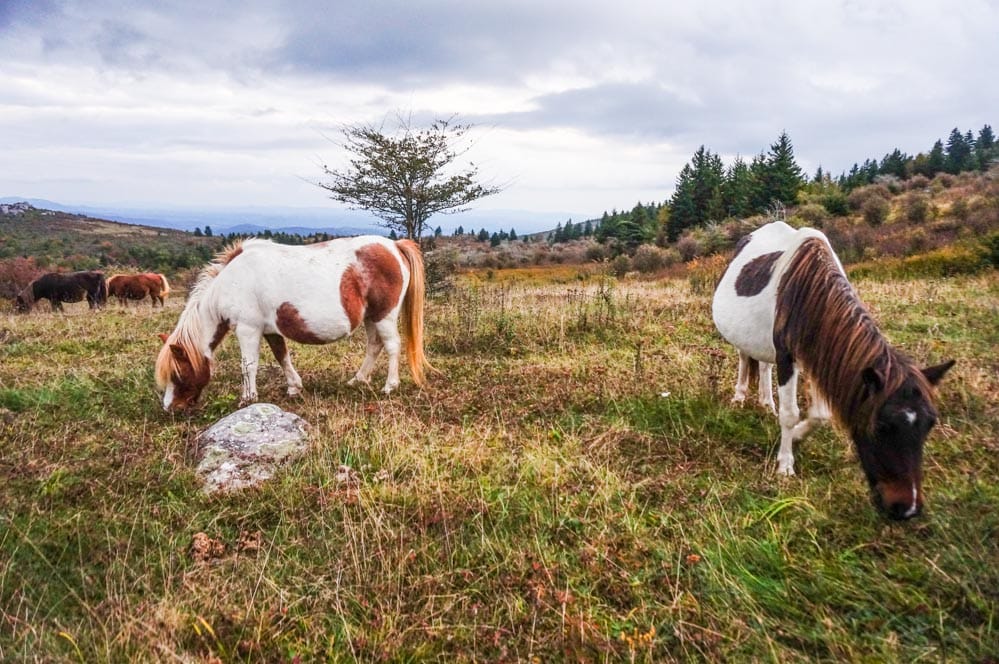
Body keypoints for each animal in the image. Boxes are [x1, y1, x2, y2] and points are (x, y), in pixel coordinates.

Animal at [155, 233, 430, 410]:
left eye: (178, 374)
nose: (170, 408)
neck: (231, 281)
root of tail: (394, 246)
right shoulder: (270, 330)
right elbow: (282, 356)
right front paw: (294, 387)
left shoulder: (248, 329)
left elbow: (248, 365)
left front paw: (248, 398)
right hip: (371, 318)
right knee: (374, 346)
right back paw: (357, 380)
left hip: (384, 315)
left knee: (392, 346)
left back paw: (389, 386)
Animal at [716, 222, 956, 520]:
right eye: (882, 426)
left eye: (930, 424)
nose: (907, 509)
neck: (808, 289)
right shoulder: (788, 356)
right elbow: (790, 414)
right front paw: (785, 464)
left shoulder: (819, 354)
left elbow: (819, 415)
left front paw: (796, 435)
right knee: (744, 356)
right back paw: (740, 398)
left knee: (763, 364)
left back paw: (766, 403)